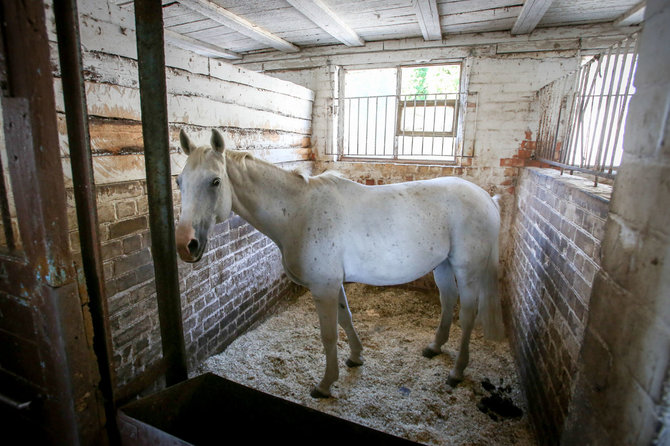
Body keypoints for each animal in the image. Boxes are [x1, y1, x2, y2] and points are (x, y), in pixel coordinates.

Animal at [176, 128, 506, 398]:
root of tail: (488, 199)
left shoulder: (323, 287)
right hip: (444, 266)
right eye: (179, 181)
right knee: (448, 300)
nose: (185, 245)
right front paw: (356, 358)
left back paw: (457, 372)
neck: (299, 212)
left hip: (467, 270)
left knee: (468, 313)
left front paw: (325, 385)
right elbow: (345, 319)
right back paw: (435, 347)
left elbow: (329, 333)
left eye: (215, 181)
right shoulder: (334, 284)